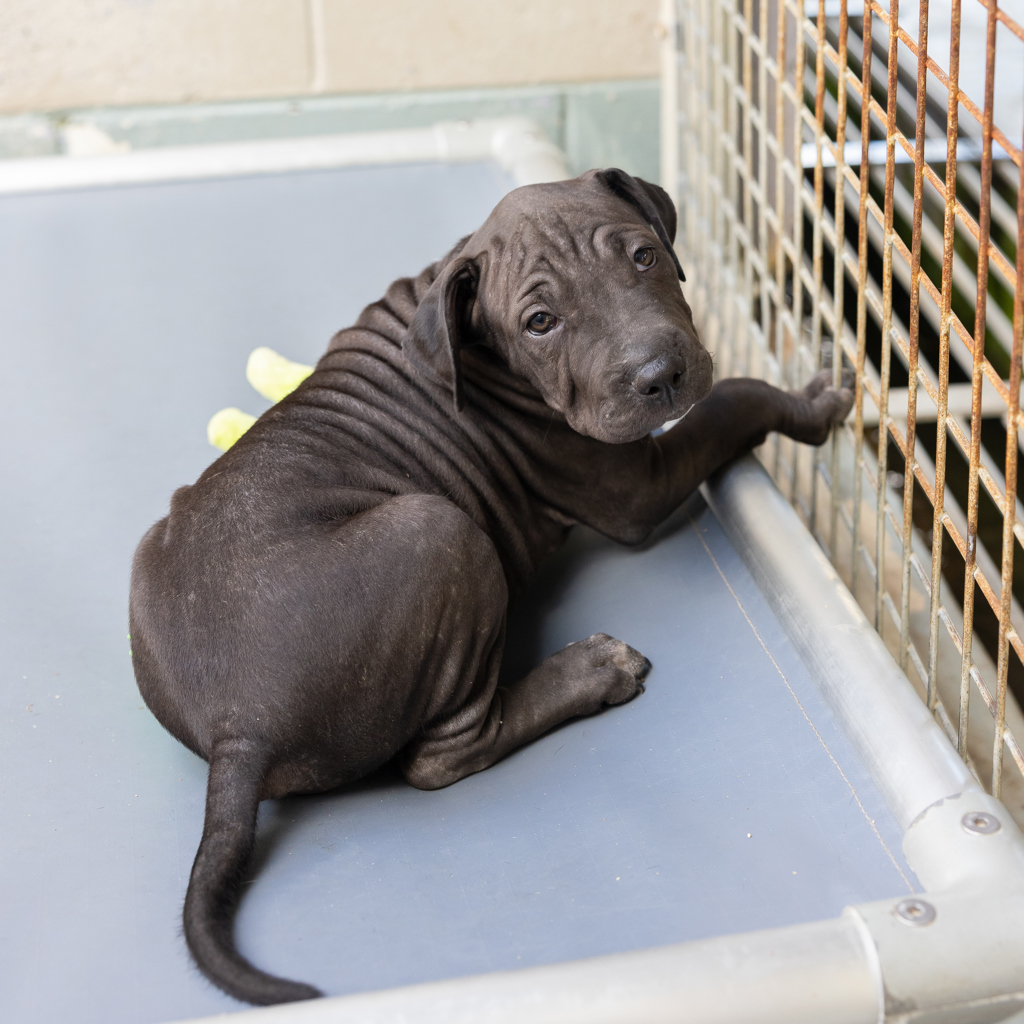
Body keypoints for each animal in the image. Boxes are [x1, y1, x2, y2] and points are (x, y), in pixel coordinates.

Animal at [129, 168, 854, 1006]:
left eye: (644, 257)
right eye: (540, 321)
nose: (660, 376)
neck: (466, 350)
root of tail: (235, 732)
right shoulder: (632, 484)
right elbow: (734, 398)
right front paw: (813, 401)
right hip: (443, 535)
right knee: (445, 756)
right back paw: (589, 673)